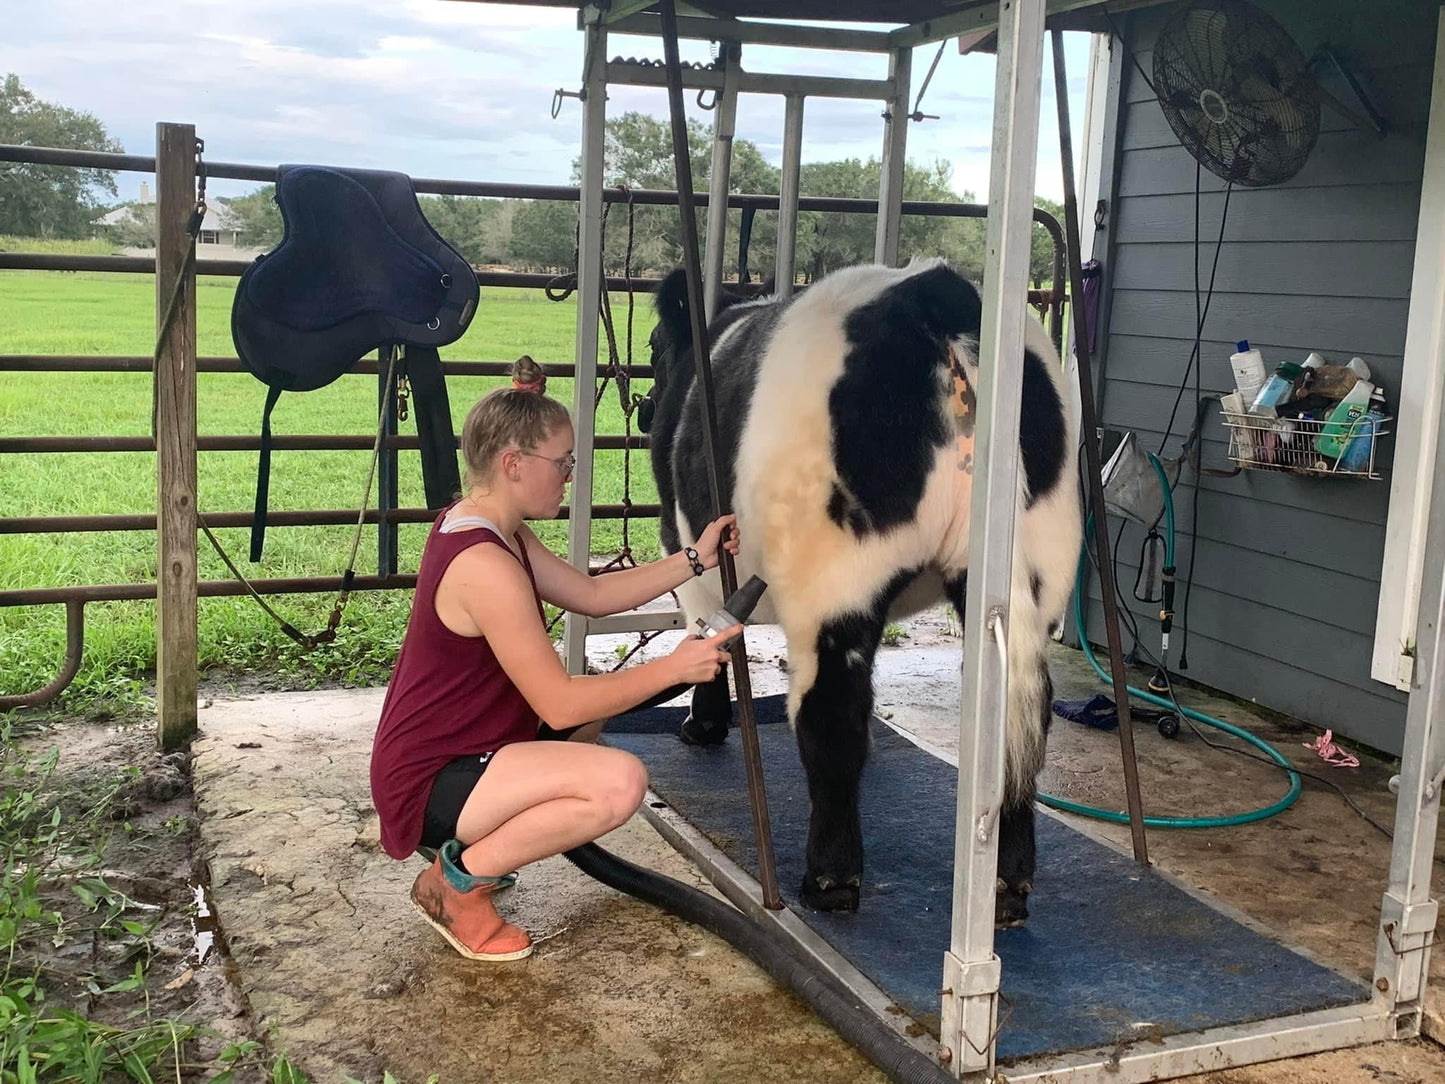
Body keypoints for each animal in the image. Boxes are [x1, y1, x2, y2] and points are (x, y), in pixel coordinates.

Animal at [647, 258, 1086, 930]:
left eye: (650, 348)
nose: (646, 411)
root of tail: (933, 297)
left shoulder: (692, 563)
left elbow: (709, 645)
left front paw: (703, 726)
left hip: (835, 577)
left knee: (830, 713)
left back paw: (829, 881)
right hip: (1036, 565)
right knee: (1019, 720)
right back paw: (1007, 889)